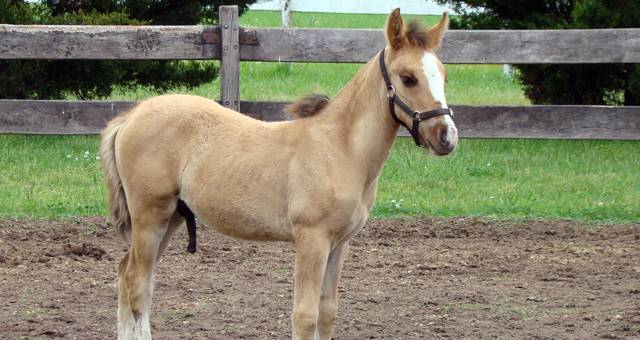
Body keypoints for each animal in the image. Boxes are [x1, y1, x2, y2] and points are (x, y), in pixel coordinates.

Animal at [101, 9, 456, 338]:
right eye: (408, 77)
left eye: (444, 75)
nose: (447, 137)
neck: (339, 148)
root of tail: (131, 116)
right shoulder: (312, 238)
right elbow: (305, 316)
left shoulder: (340, 243)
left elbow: (328, 312)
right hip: (150, 216)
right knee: (137, 284)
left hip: (172, 217)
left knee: (126, 273)